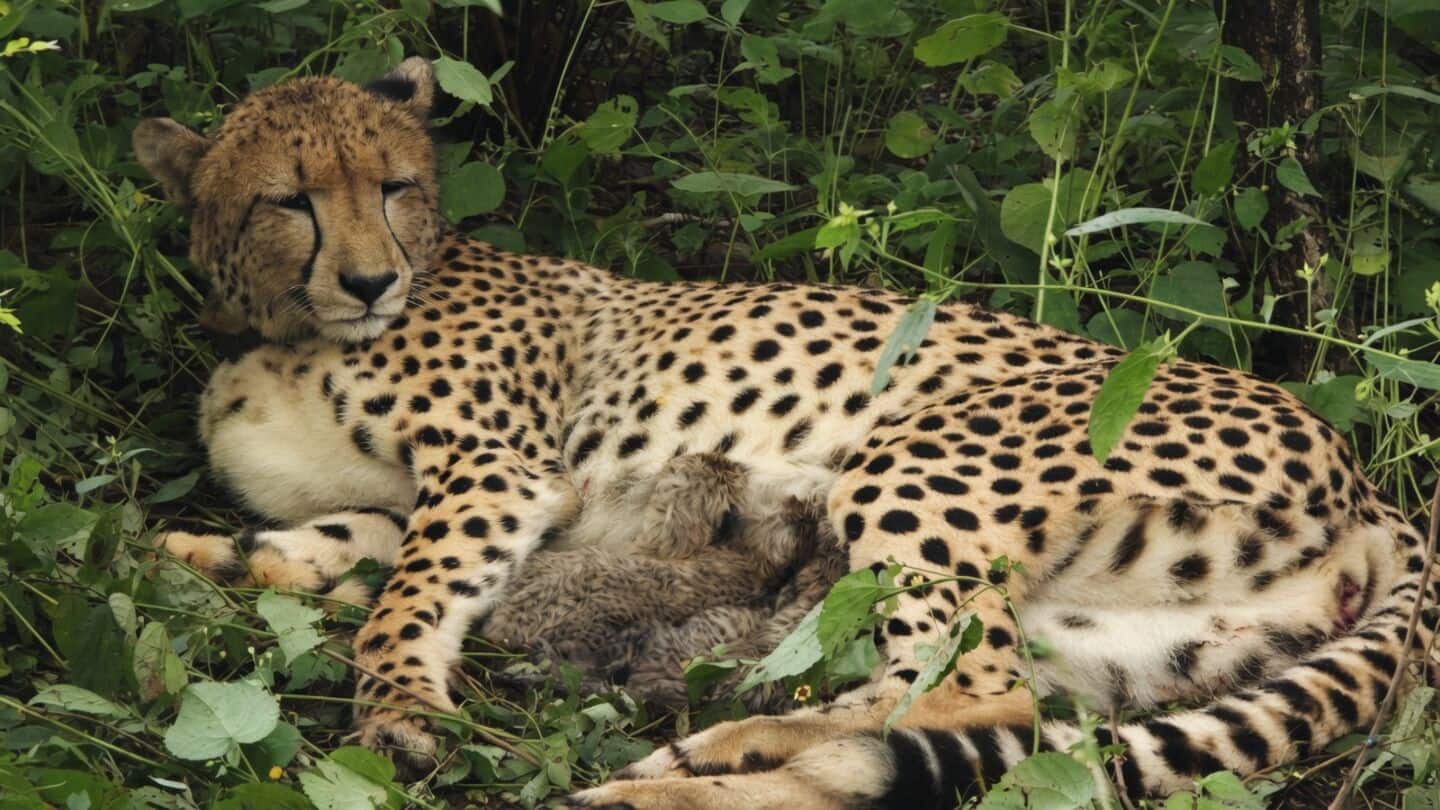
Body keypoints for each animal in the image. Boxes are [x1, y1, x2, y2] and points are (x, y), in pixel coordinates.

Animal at [133, 56, 1437, 808]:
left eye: (395, 186)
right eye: (288, 199)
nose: (369, 279)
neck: (281, 325)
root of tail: (1371, 485)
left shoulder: (496, 472)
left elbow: (406, 597)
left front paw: (399, 711)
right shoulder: (409, 499)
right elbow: (322, 549)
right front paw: (191, 555)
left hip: (915, 461)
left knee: (969, 700)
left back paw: (701, 762)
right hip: (1126, 639)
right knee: (980, 717)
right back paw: (686, 770)